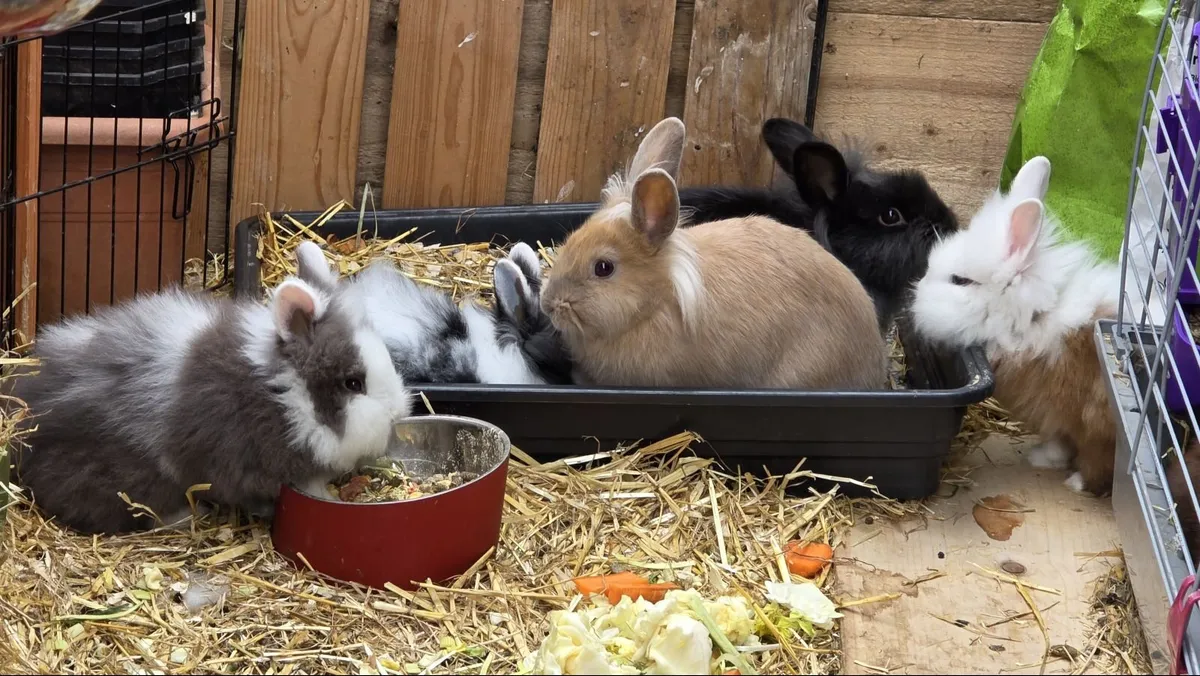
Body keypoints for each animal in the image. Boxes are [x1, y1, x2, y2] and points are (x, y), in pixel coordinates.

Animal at [10, 277, 412, 534]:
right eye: (353, 383)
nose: (398, 413)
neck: (281, 394)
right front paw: (323, 495)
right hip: (124, 480)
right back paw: (185, 516)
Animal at [910, 155, 1120, 496]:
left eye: (961, 281)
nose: (915, 297)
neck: (1035, 317)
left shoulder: (1092, 423)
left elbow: (1097, 461)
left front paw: (1077, 483)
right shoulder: (1058, 419)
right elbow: (1059, 443)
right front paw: (1042, 458)